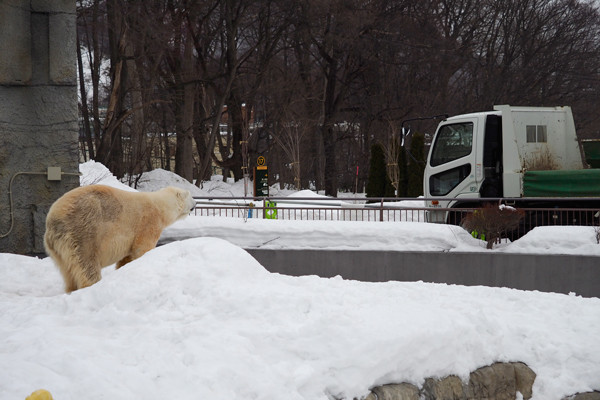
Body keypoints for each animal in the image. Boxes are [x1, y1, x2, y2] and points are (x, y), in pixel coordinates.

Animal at [44, 185, 195, 294]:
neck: (160, 206)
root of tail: (54, 221)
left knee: (67, 271)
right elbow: (142, 248)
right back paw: (92, 285)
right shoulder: (148, 222)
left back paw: (71, 289)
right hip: (84, 231)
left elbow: (126, 257)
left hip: (57, 248)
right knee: (87, 264)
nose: (195, 204)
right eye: (191, 197)